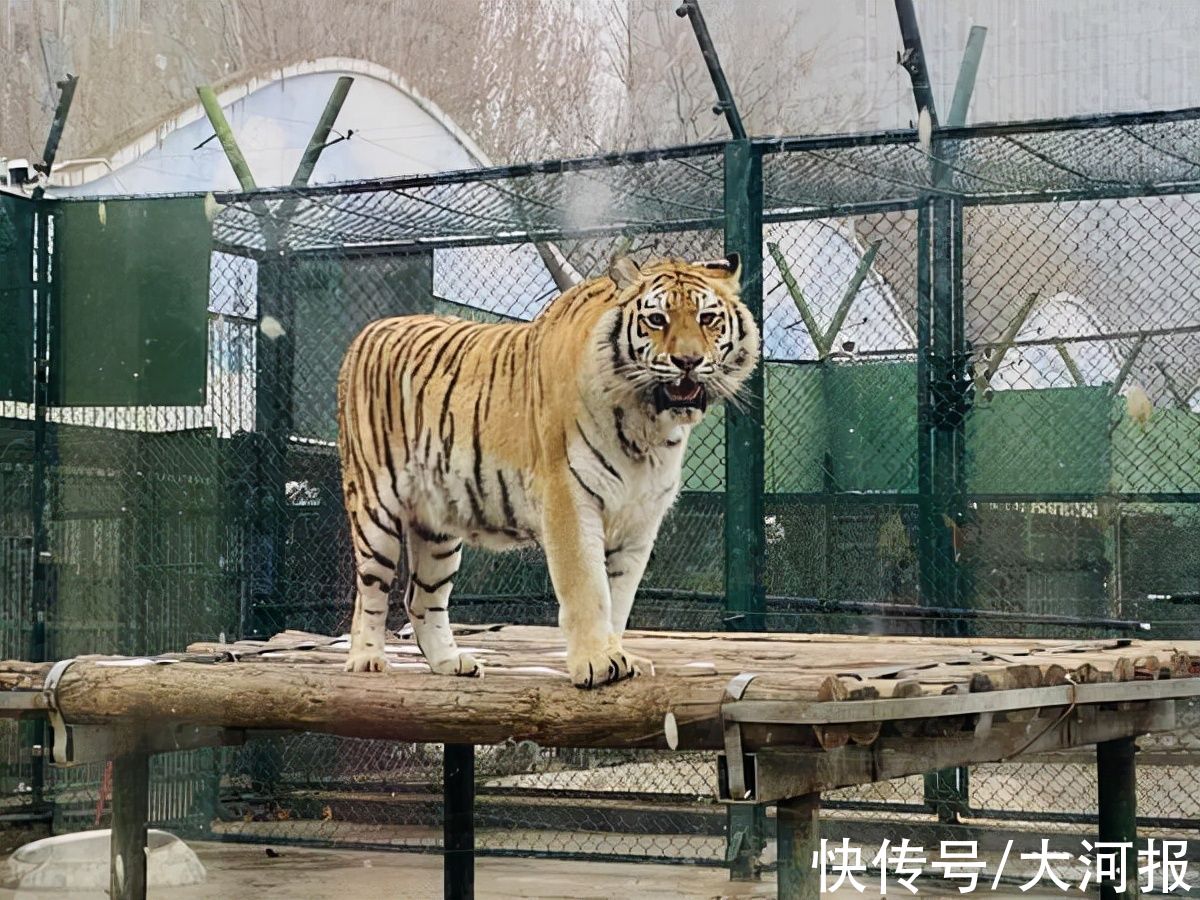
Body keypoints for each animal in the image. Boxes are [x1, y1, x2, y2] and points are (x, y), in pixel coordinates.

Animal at [336, 254, 758, 691]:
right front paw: (598, 662)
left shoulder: (639, 520)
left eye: (707, 317)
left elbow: (619, 599)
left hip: (438, 529)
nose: (688, 362)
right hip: (375, 509)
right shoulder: (569, 499)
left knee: (421, 598)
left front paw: (621, 657)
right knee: (370, 591)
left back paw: (450, 663)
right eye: (657, 319)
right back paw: (366, 659)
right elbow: (588, 589)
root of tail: (368, 330)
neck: (649, 424)